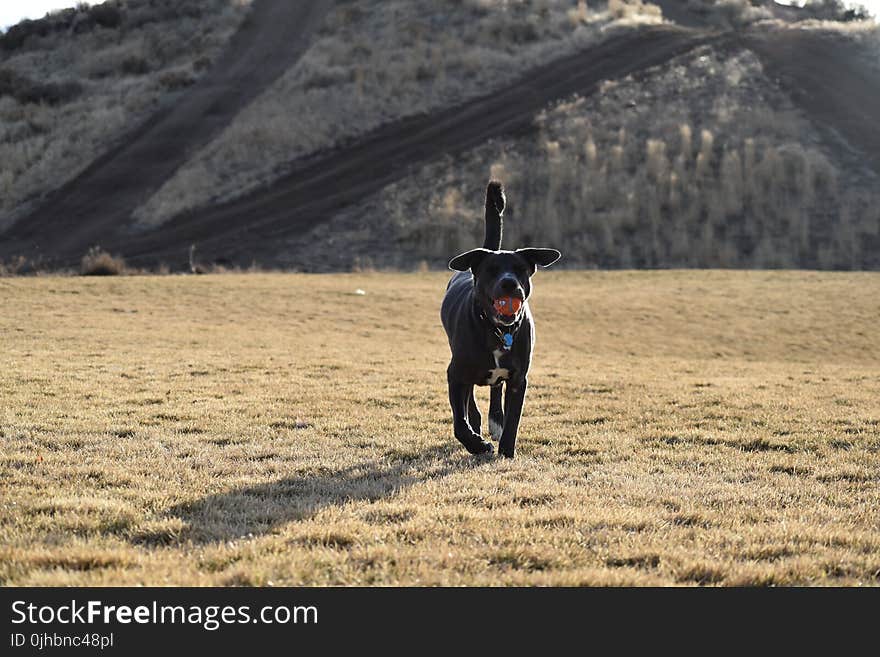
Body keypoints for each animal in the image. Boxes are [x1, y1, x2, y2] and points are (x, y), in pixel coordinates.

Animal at [440, 179, 564, 456]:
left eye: (521, 270)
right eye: (491, 270)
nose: (509, 283)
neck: (497, 329)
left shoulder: (519, 379)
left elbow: (513, 420)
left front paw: (506, 451)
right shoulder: (455, 373)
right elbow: (460, 422)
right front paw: (477, 444)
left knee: (496, 391)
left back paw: (494, 421)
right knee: (470, 401)